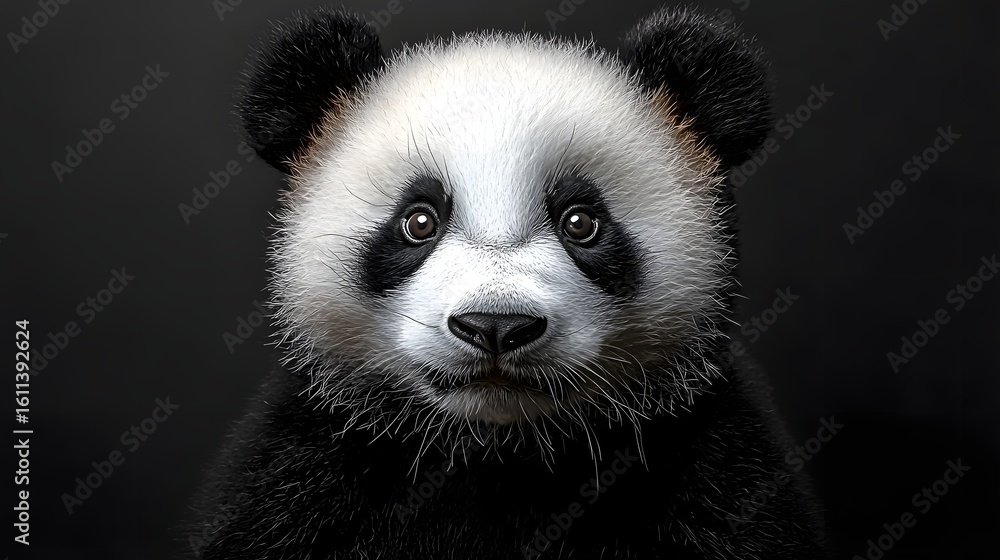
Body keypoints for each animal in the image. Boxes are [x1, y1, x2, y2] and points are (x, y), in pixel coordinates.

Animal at [187, 6, 829, 559]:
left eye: (582, 222)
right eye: (418, 221)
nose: (495, 326)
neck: (498, 451)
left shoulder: (711, 470)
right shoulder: (303, 476)